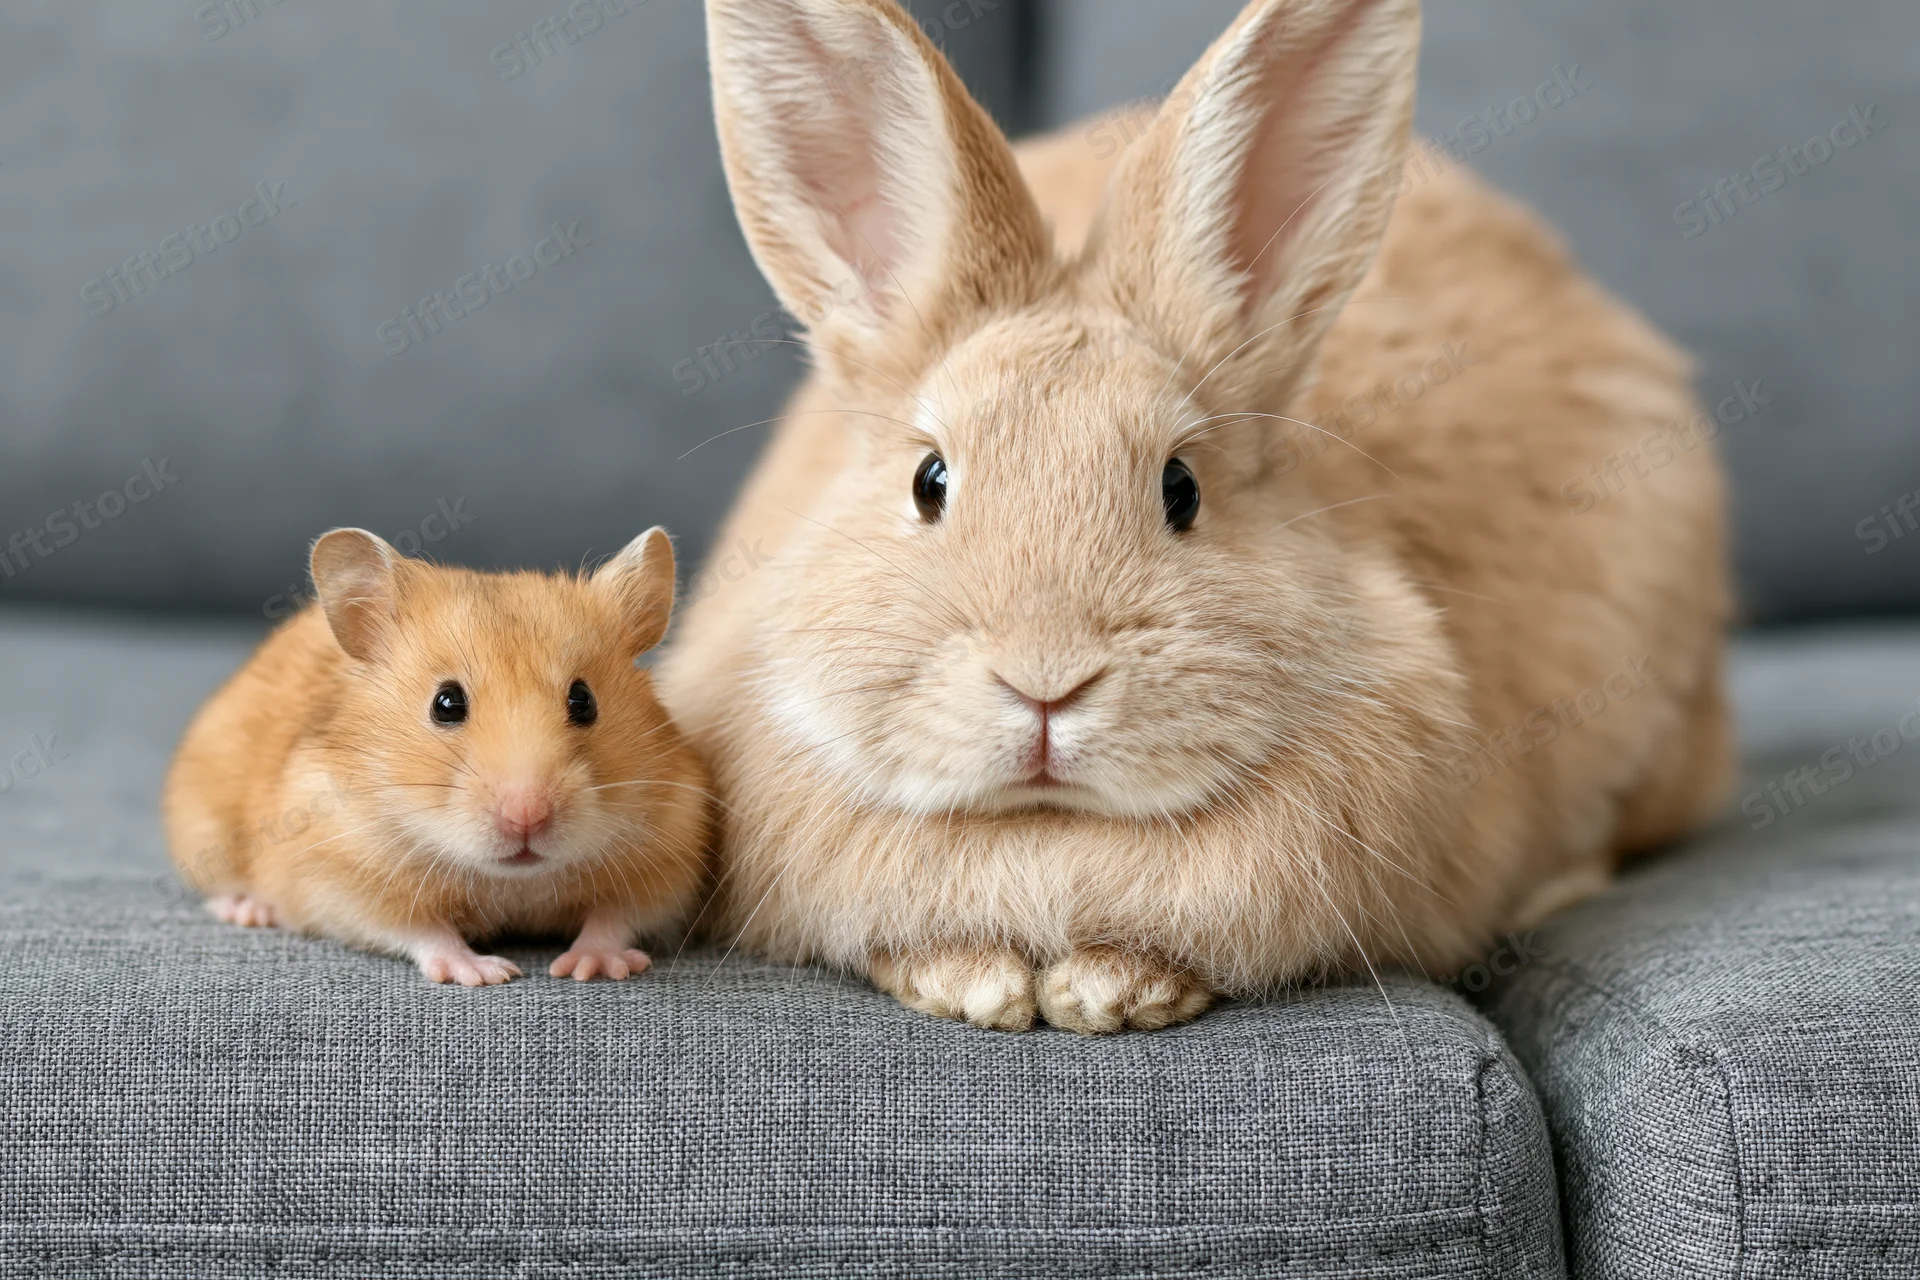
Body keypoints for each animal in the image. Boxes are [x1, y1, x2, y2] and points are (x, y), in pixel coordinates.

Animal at [163, 526, 712, 986]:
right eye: (446, 703)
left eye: (584, 701)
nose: (527, 817)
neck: (513, 881)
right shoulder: (337, 875)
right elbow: (420, 929)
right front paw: (486, 973)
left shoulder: (669, 853)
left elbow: (615, 916)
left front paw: (590, 968)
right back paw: (249, 909)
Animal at [658, 0, 1733, 1033]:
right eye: (930, 482)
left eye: (1182, 489)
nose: (1045, 684)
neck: (1051, 831)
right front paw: (975, 984)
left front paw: (1110, 992)